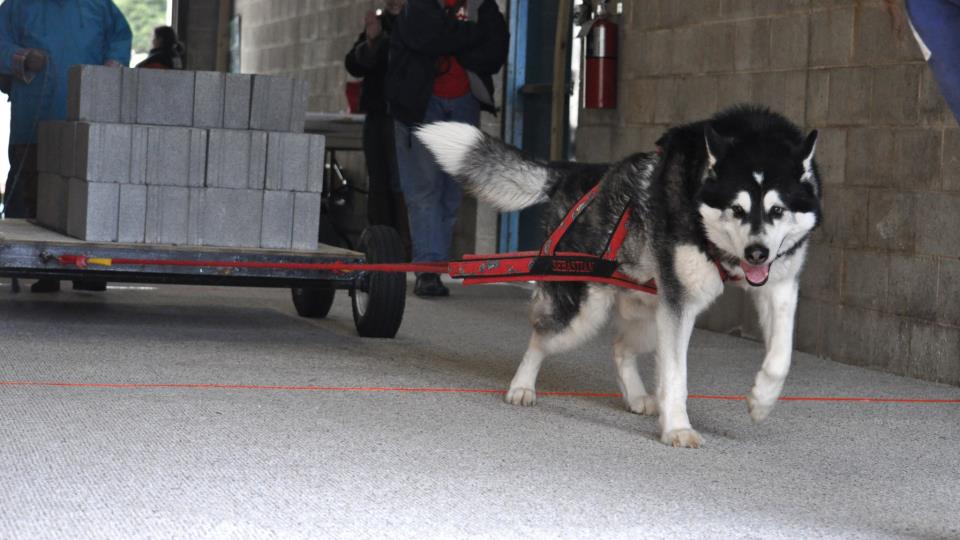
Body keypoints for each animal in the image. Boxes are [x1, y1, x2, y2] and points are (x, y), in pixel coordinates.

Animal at [412, 105, 816, 448]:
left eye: (777, 210)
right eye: (737, 209)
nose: (757, 253)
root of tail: (577, 171)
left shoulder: (778, 286)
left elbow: (782, 355)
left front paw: (762, 399)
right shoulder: (681, 303)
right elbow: (676, 375)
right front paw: (677, 428)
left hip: (653, 311)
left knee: (620, 346)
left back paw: (636, 394)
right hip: (585, 312)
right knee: (540, 336)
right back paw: (522, 386)